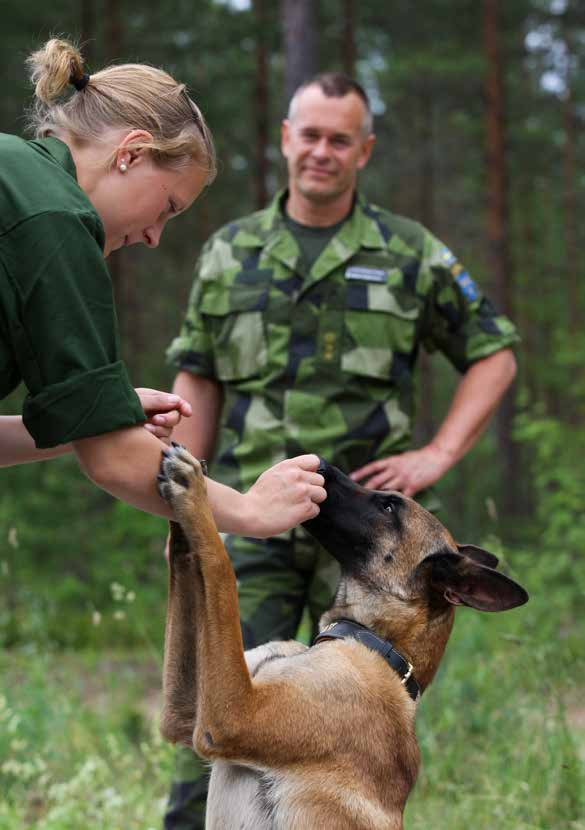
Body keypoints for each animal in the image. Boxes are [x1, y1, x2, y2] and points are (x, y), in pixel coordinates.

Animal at [157, 448, 528, 830]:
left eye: (389, 507)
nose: (317, 461)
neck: (376, 645)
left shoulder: (232, 716)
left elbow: (220, 566)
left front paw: (194, 492)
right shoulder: (185, 714)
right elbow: (189, 560)